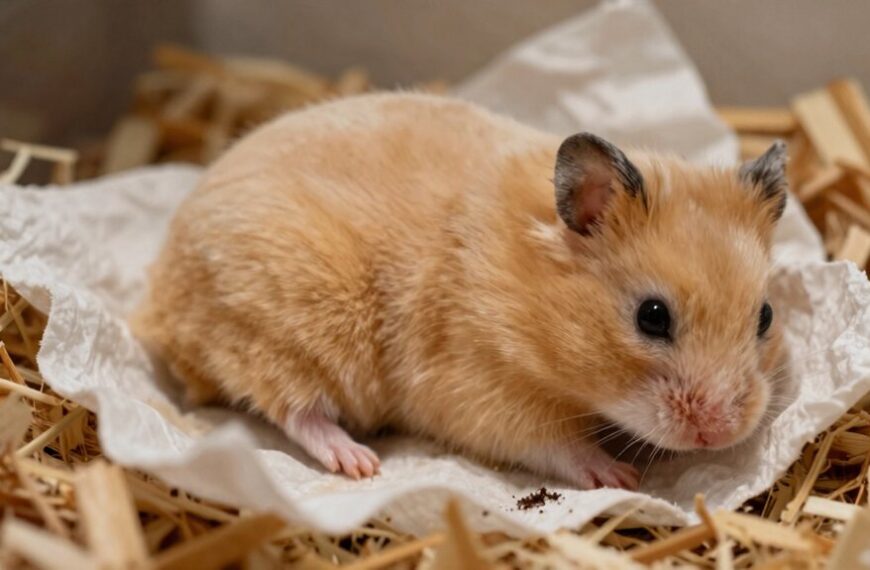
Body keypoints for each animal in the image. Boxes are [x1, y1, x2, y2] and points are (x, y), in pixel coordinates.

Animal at [132, 92, 788, 489]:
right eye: (652, 316)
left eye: (765, 317)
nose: (720, 432)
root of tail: (158, 296)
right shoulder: (484, 390)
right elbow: (556, 445)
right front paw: (621, 477)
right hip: (293, 324)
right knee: (294, 408)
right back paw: (359, 462)